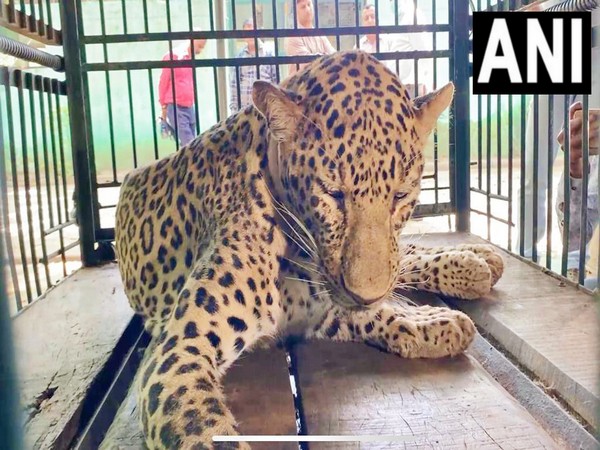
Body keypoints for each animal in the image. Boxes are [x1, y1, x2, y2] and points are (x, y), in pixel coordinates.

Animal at [115, 50, 504, 450]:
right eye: (332, 194)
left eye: (400, 195)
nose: (366, 295)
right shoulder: (179, 353)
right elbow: (204, 432)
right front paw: (429, 319)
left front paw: (428, 317)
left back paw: (477, 259)